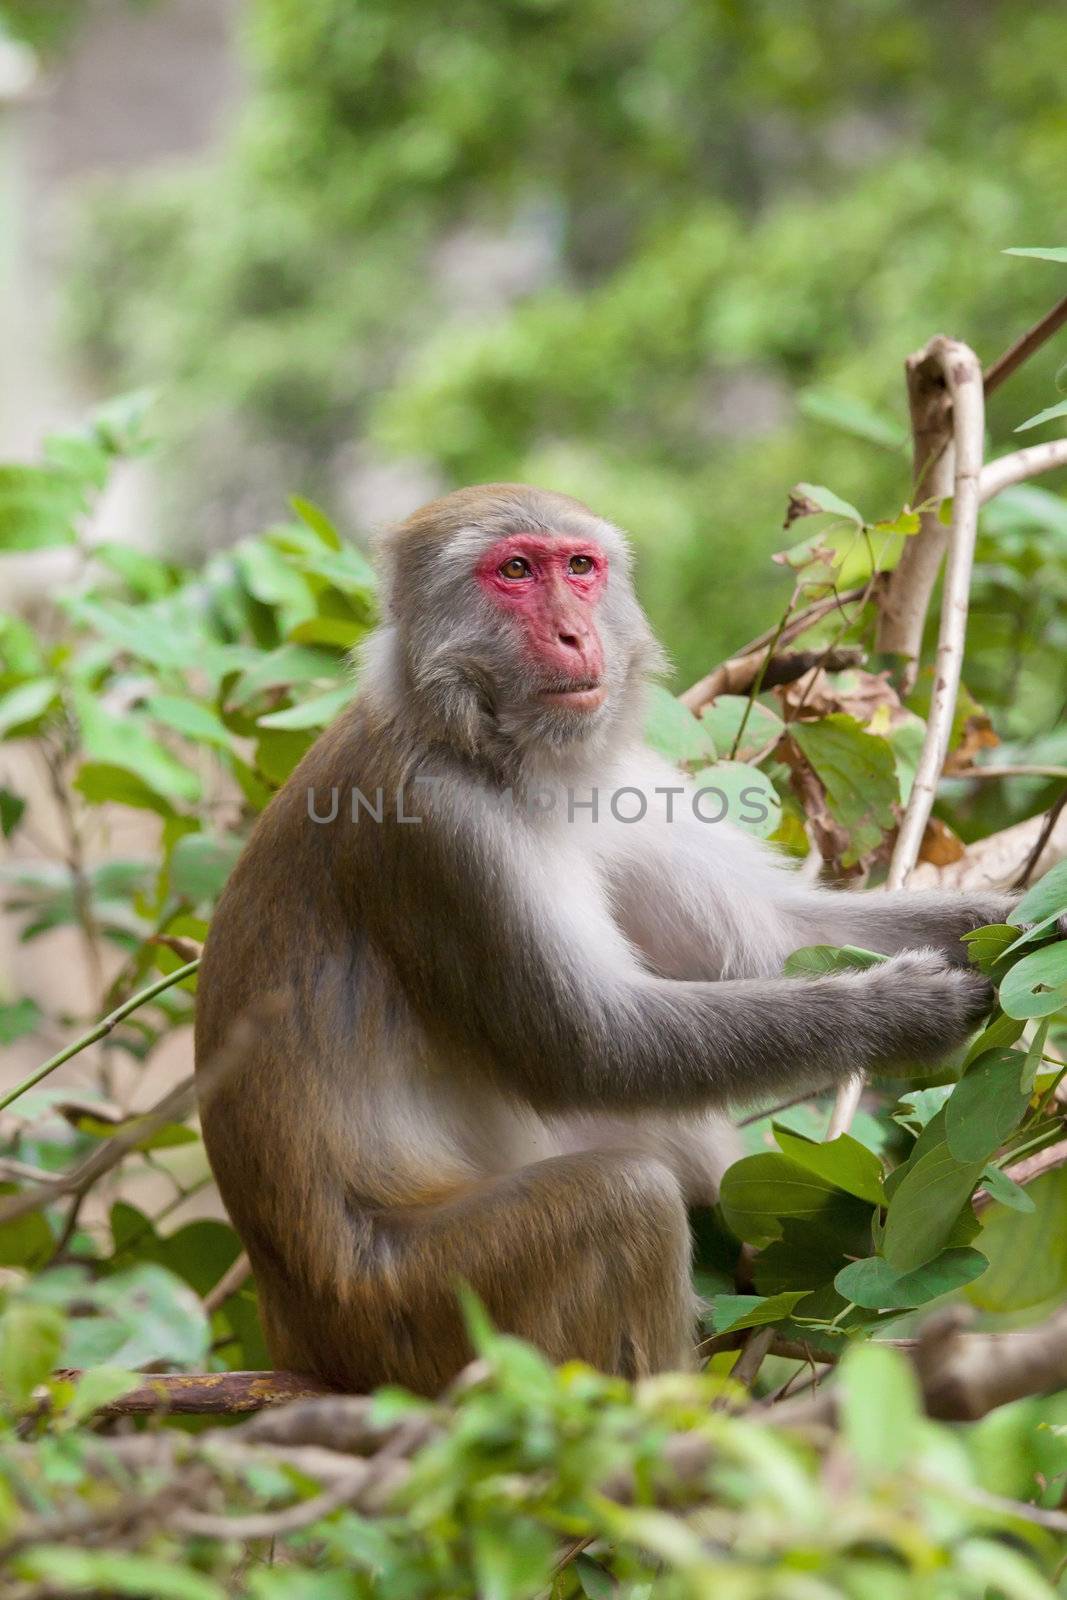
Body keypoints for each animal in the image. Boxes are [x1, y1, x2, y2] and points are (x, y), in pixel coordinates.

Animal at [195, 480, 1017, 1395]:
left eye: (579, 568)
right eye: (516, 571)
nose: (572, 633)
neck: (494, 749)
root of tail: (294, 1334)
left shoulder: (620, 780)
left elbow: (773, 937)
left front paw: (1015, 916)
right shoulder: (438, 828)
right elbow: (589, 1045)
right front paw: (904, 1012)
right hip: (409, 1318)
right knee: (625, 1201)